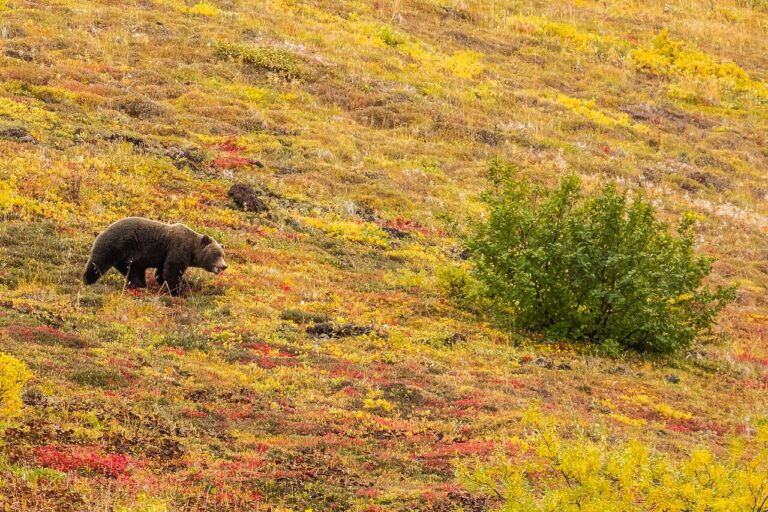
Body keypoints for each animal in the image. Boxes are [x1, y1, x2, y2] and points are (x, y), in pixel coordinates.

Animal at [83, 217, 227, 296]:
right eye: (216, 254)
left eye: (223, 254)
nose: (224, 266)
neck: (192, 250)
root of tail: (101, 231)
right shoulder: (178, 249)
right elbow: (173, 272)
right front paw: (177, 291)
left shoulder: (165, 255)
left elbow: (161, 272)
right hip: (114, 245)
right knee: (97, 264)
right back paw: (88, 281)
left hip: (128, 258)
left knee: (133, 271)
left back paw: (138, 285)